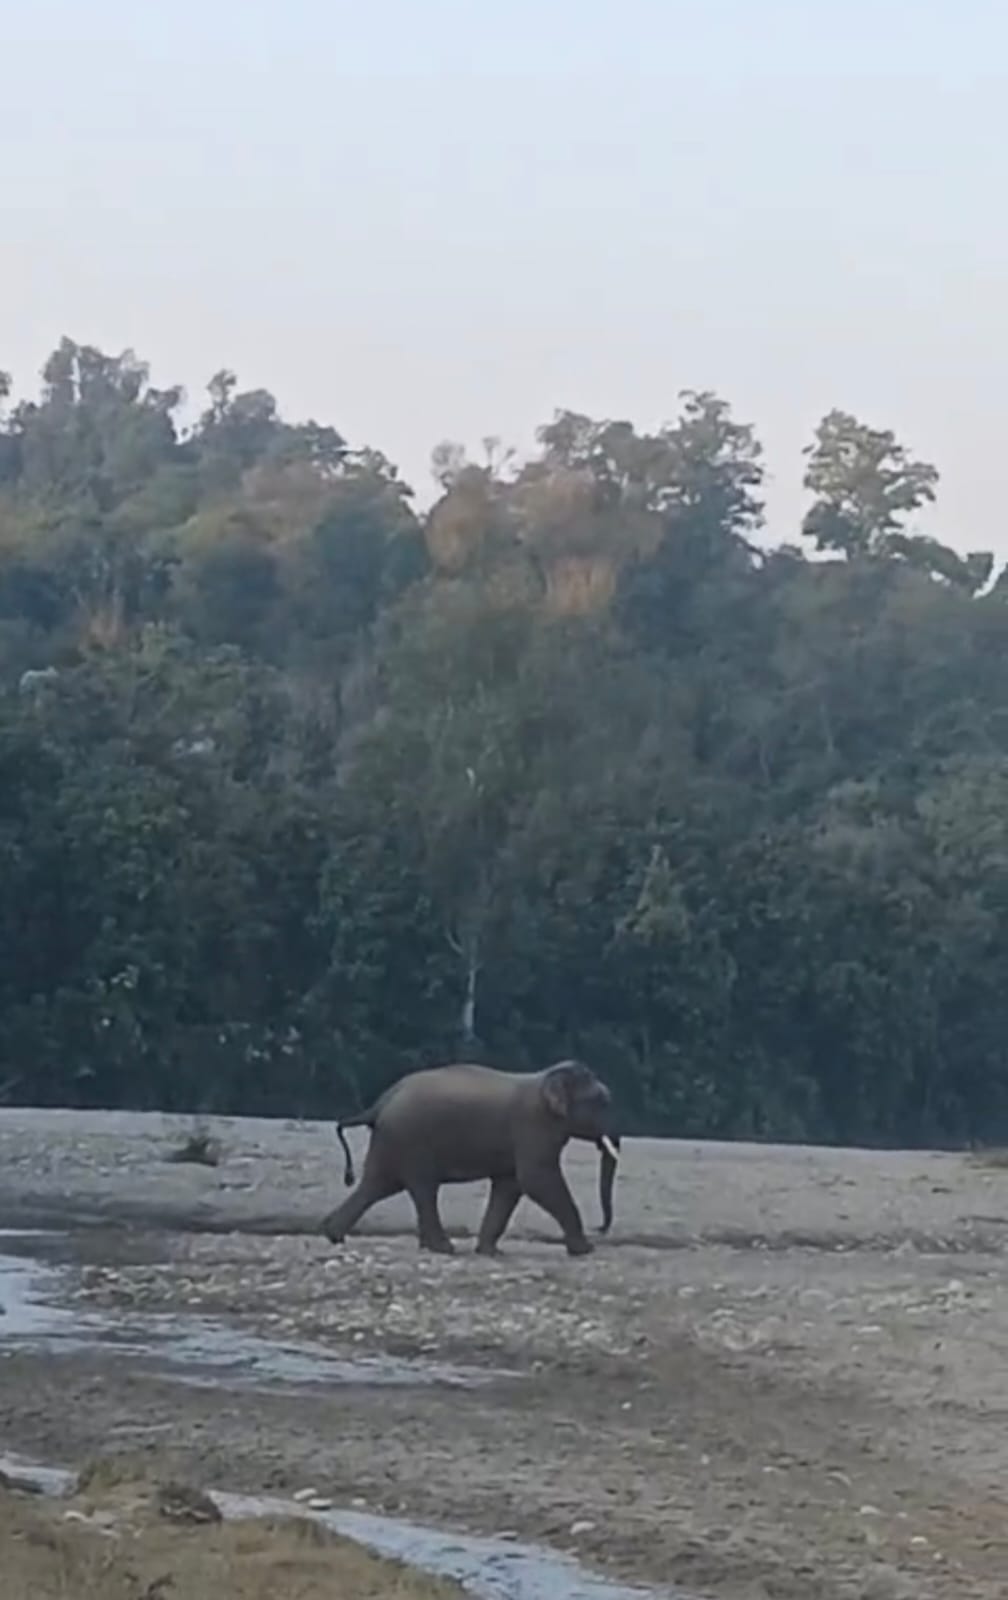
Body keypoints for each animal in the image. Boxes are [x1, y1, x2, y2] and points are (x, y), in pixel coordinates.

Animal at [320, 1059, 620, 1257]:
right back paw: (444, 1248)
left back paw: (332, 1233)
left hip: (393, 1141)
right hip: (410, 1140)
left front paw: (490, 1252)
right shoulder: (533, 1127)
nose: (600, 1228)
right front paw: (585, 1250)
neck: (545, 1078)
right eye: (602, 1102)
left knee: (379, 1185)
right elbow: (536, 1180)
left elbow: (510, 1185)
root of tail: (379, 1104)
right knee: (422, 1188)